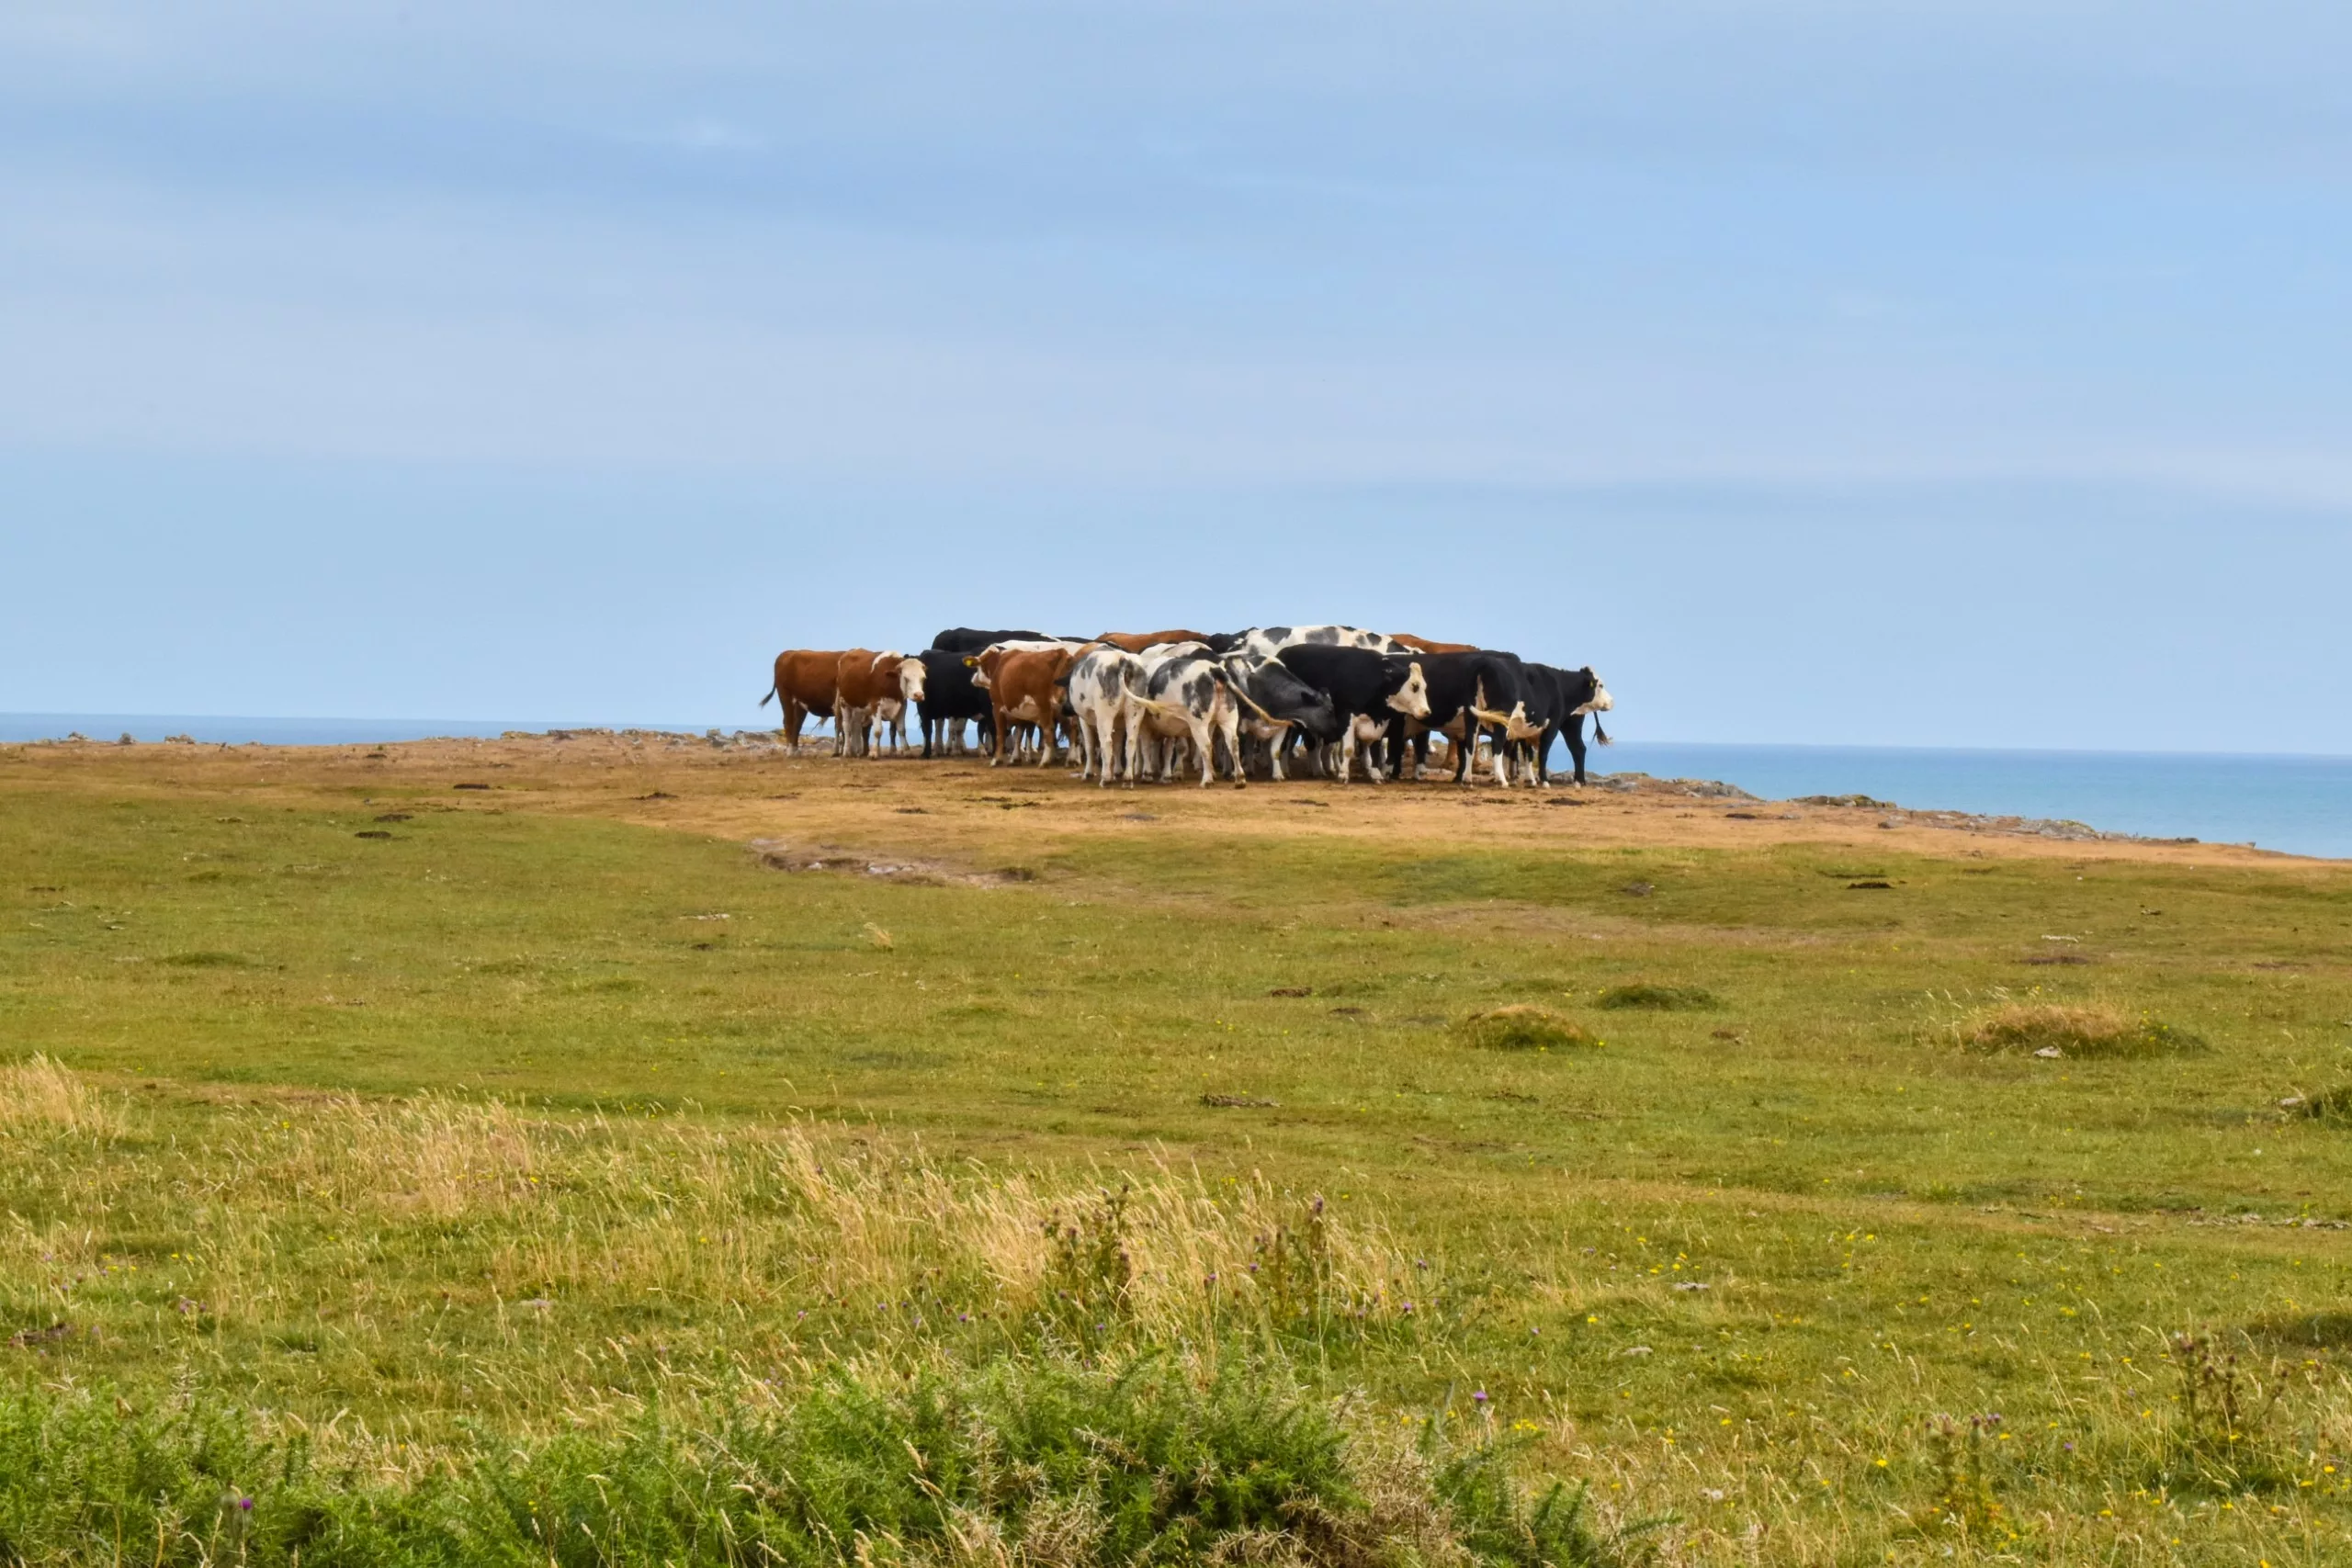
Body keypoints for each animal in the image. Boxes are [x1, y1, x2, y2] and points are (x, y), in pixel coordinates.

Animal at [1270, 645, 1431, 783]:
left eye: (1424, 686)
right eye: (1414, 686)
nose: (1427, 712)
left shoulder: (1379, 723)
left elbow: (1375, 749)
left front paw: (1376, 774)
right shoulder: (1347, 717)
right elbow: (1348, 749)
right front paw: (1343, 775)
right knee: (1292, 744)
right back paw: (1290, 770)